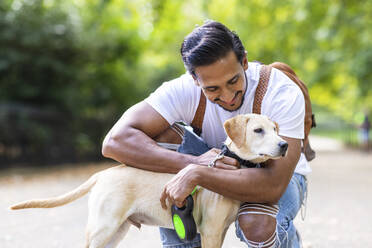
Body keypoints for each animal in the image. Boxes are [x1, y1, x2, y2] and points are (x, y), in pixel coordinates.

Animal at [8, 113, 288, 247]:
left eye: (276, 129)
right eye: (258, 130)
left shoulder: (219, 231)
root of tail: (104, 173)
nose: (285, 145)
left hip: (116, 231)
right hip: (103, 227)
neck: (234, 165)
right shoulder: (210, 231)